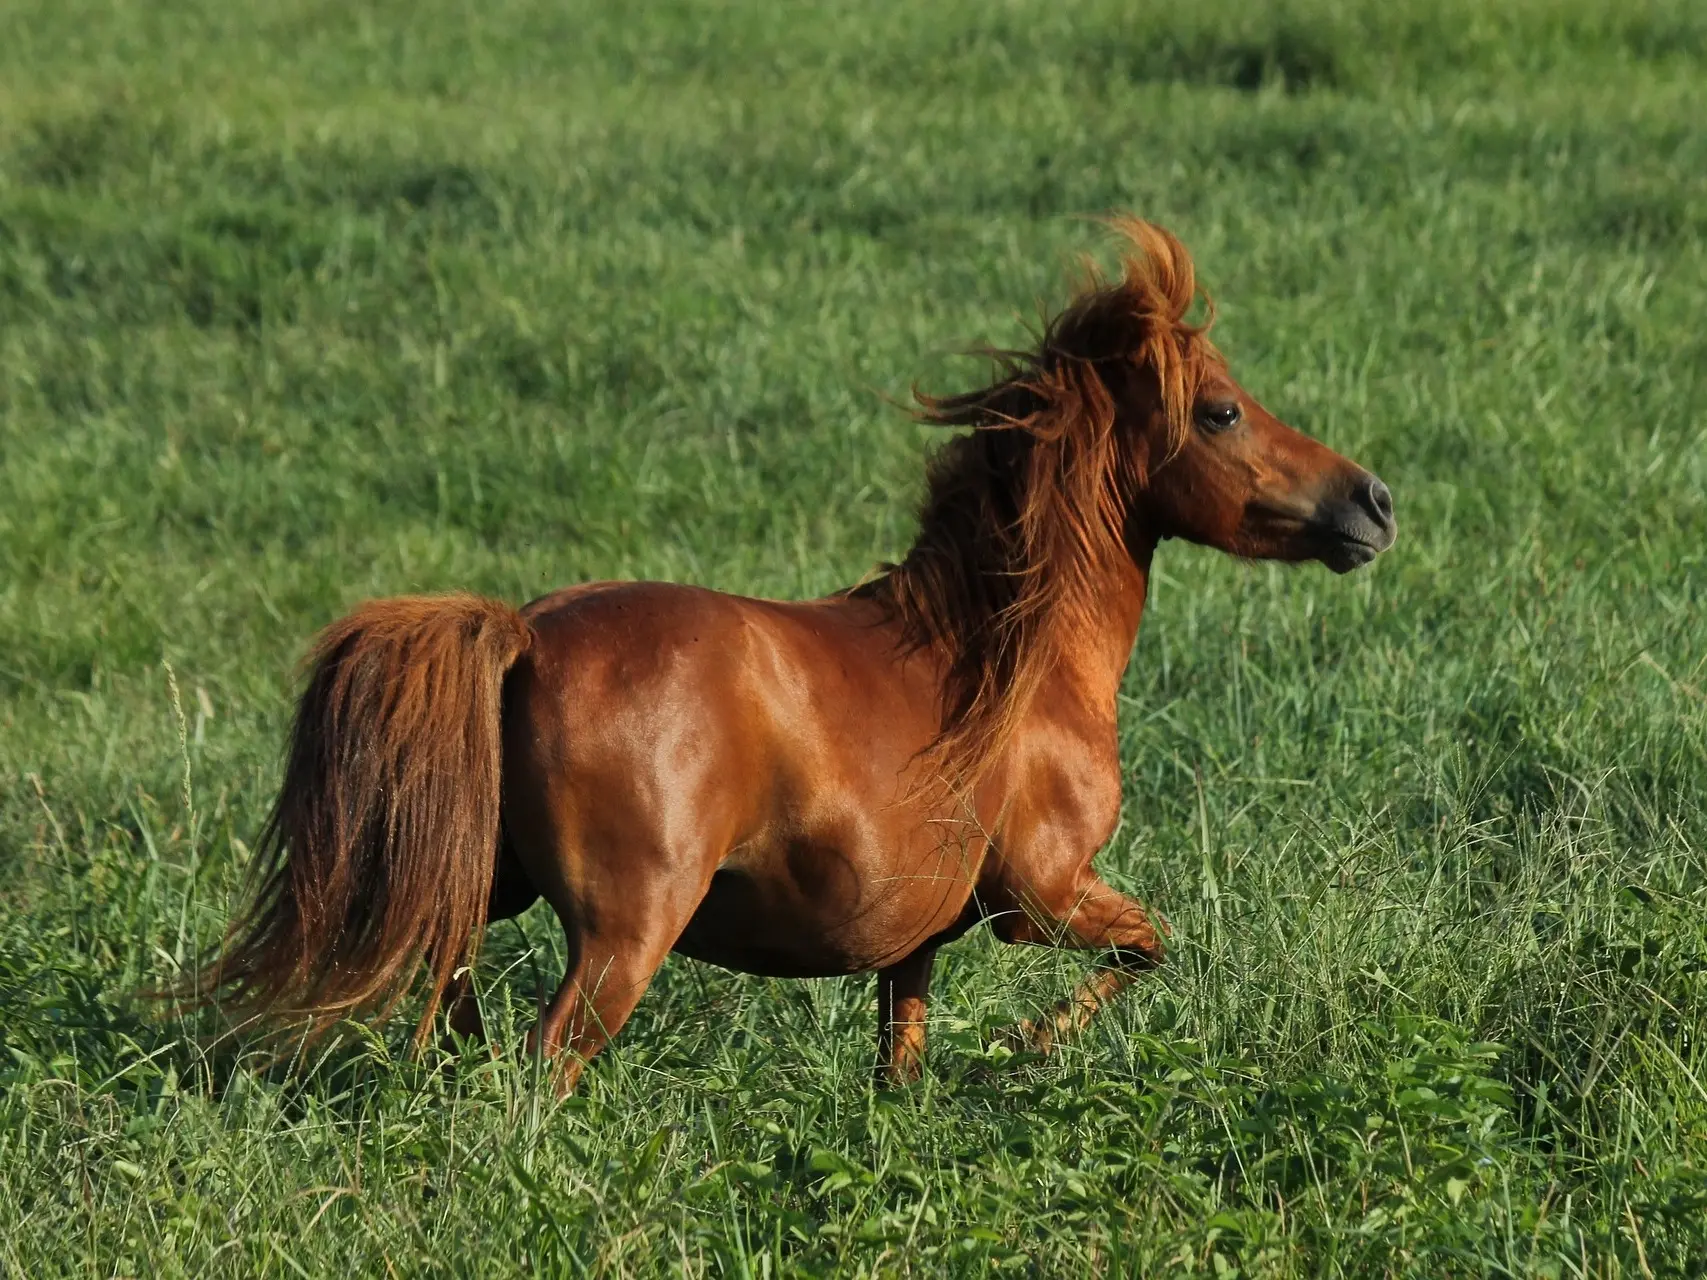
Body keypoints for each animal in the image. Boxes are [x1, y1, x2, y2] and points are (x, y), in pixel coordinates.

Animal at [193, 220, 1399, 1092]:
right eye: (1223, 411)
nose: (1374, 503)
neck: (1010, 664)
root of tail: (525, 636)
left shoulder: (919, 940)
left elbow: (901, 1060)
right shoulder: (1044, 895)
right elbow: (1151, 946)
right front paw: (1028, 1043)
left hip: (483, 890)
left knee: (446, 1016)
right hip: (623, 935)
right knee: (539, 1066)